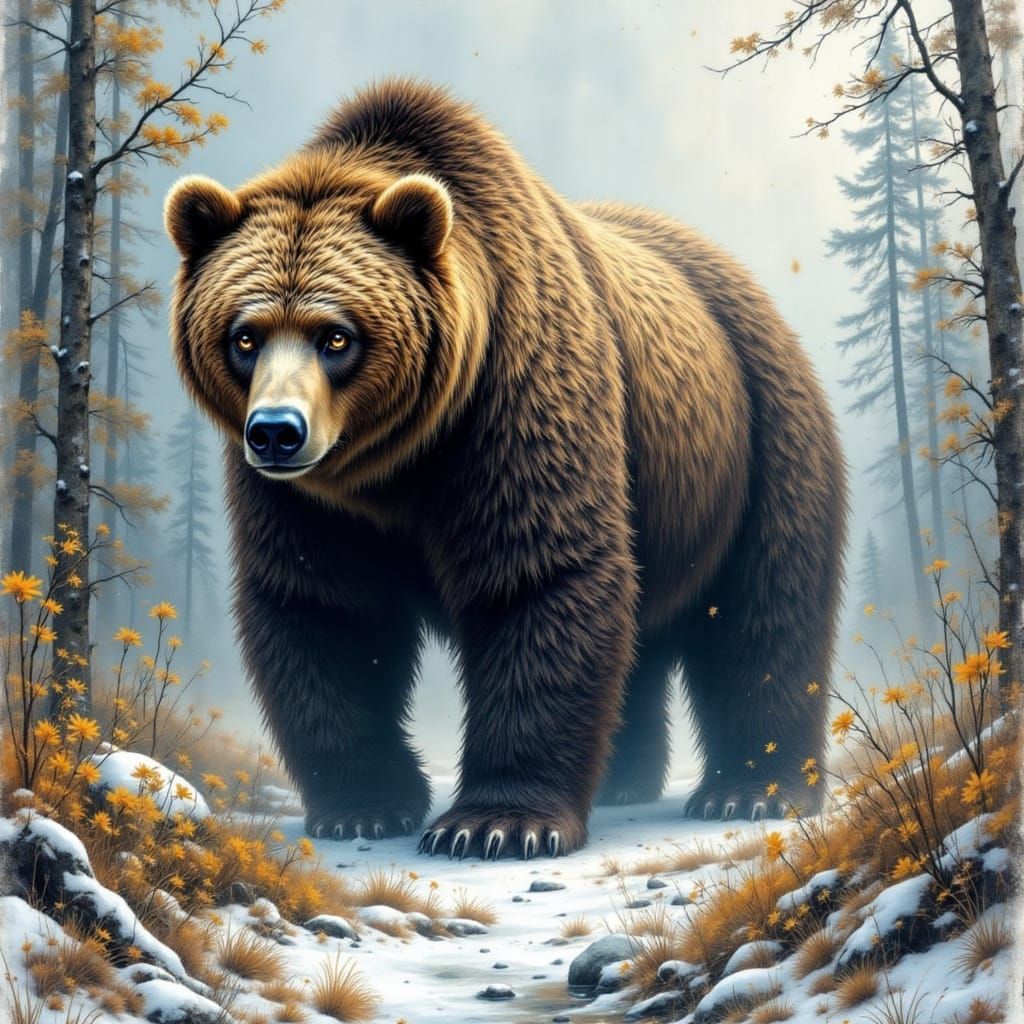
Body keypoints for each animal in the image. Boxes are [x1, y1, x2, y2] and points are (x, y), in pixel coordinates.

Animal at [164, 79, 847, 860]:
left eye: (336, 336)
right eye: (244, 336)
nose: (277, 432)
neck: (394, 465)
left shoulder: (513, 398)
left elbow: (538, 574)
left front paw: (495, 822)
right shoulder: (310, 503)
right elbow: (325, 608)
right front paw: (365, 805)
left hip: (759, 442)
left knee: (763, 612)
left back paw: (751, 790)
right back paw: (626, 780)